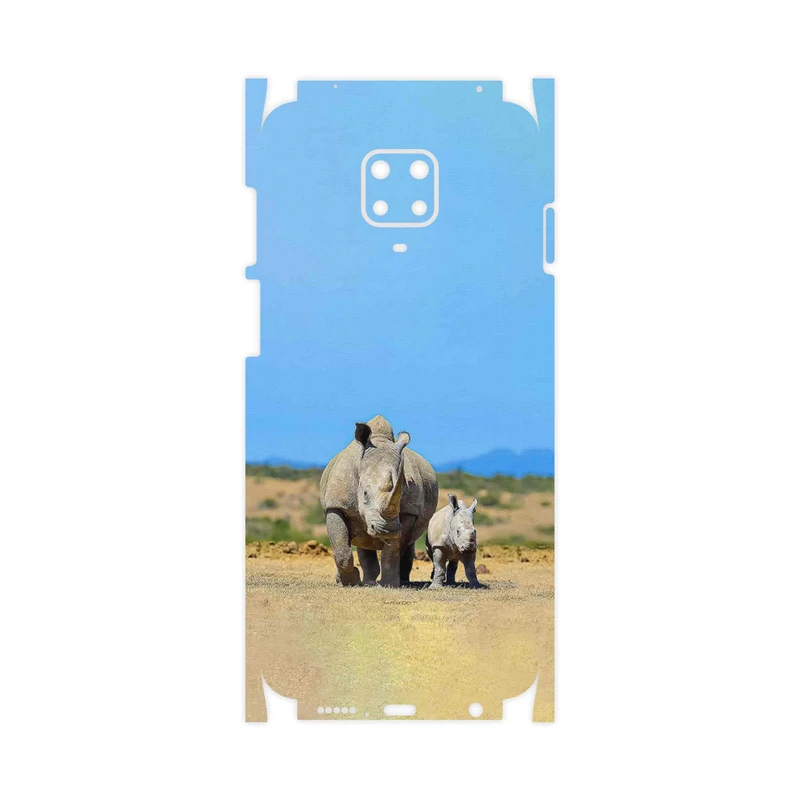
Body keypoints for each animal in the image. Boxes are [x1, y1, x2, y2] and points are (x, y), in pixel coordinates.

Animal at [319, 415, 439, 587]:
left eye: (401, 495)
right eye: (365, 494)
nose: (387, 530)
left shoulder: (408, 511)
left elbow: (392, 550)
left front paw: (390, 584)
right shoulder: (336, 505)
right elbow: (341, 549)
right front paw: (350, 582)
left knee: (407, 544)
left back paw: (400, 581)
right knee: (362, 540)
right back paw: (366, 582)